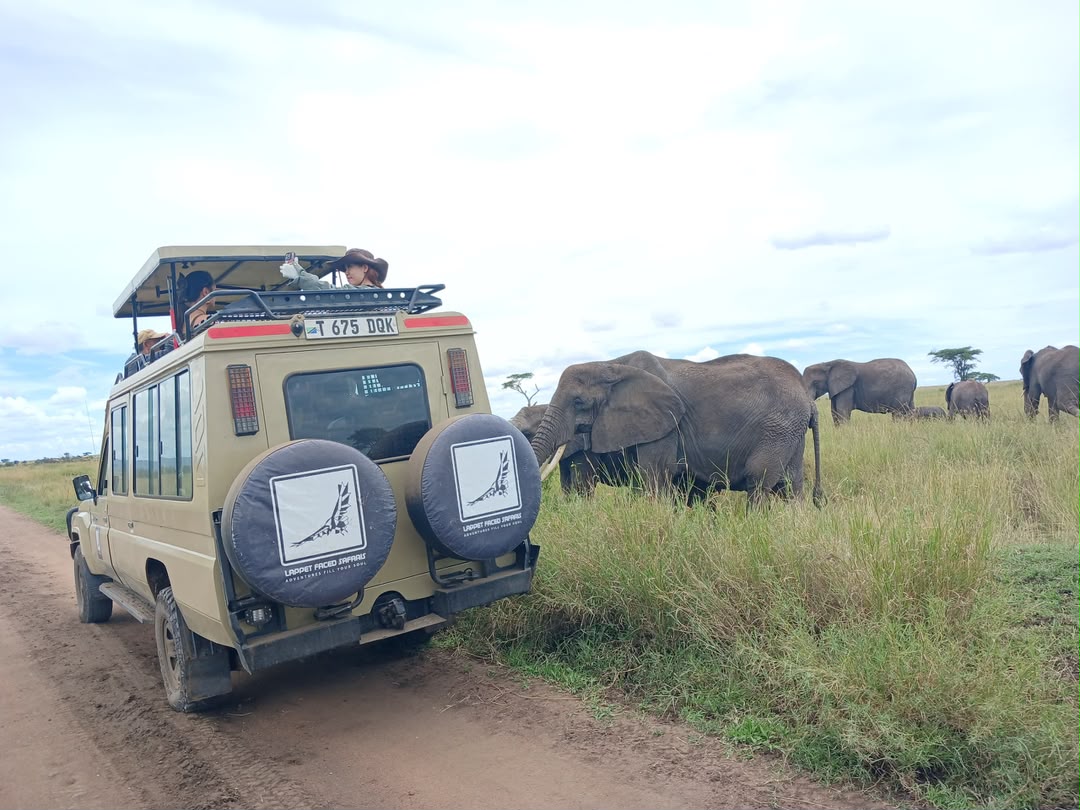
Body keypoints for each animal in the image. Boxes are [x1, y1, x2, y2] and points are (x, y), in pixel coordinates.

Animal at [528, 351, 823, 508]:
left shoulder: (666, 424)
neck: (611, 364)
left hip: (778, 429)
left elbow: (654, 478)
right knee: (791, 487)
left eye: (578, 401)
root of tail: (807, 398)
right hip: (790, 434)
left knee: (759, 480)